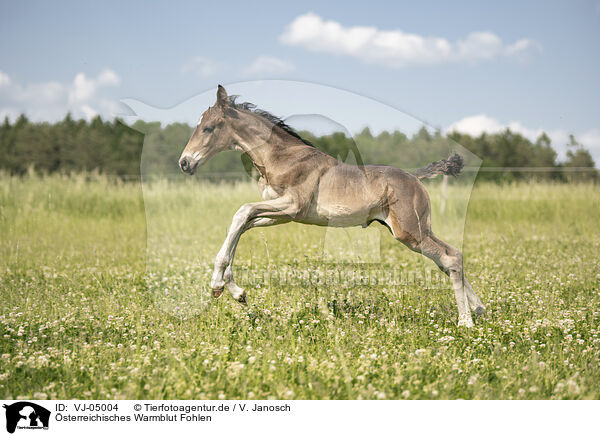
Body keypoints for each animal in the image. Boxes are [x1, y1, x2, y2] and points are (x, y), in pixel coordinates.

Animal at [179, 85, 488, 326]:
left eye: (208, 128)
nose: (184, 162)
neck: (281, 157)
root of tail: (415, 177)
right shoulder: (281, 213)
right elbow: (243, 225)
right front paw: (235, 290)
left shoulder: (291, 206)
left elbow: (241, 212)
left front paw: (218, 286)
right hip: (418, 229)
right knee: (452, 256)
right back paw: (479, 309)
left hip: (409, 232)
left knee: (450, 258)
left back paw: (465, 322)